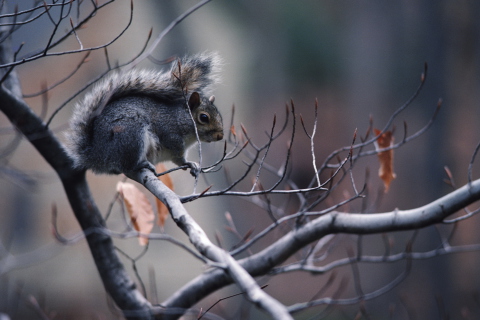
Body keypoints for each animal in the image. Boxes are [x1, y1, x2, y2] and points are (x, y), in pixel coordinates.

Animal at [64, 52, 224, 178]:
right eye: (204, 117)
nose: (220, 136)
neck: (181, 119)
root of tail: (96, 154)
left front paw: (193, 166)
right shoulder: (171, 136)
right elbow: (179, 159)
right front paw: (189, 162)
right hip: (131, 134)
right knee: (126, 165)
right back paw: (141, 165)